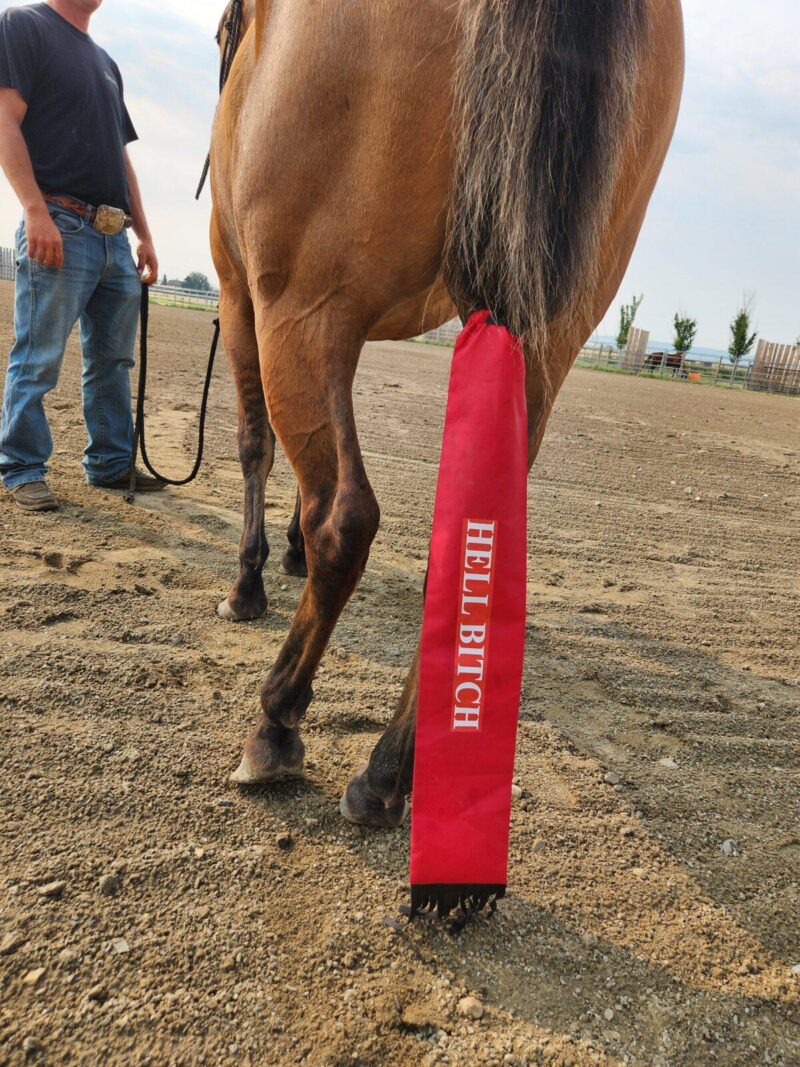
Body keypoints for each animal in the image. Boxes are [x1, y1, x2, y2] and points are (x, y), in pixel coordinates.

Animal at [210, 0, 686, 823]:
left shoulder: (245, 298)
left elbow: (254, 446)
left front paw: (250, 585)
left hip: (301, 308)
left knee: (342, 515)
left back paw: (277, 722)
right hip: (540, 339)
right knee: (468, 539)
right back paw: (385, 775)